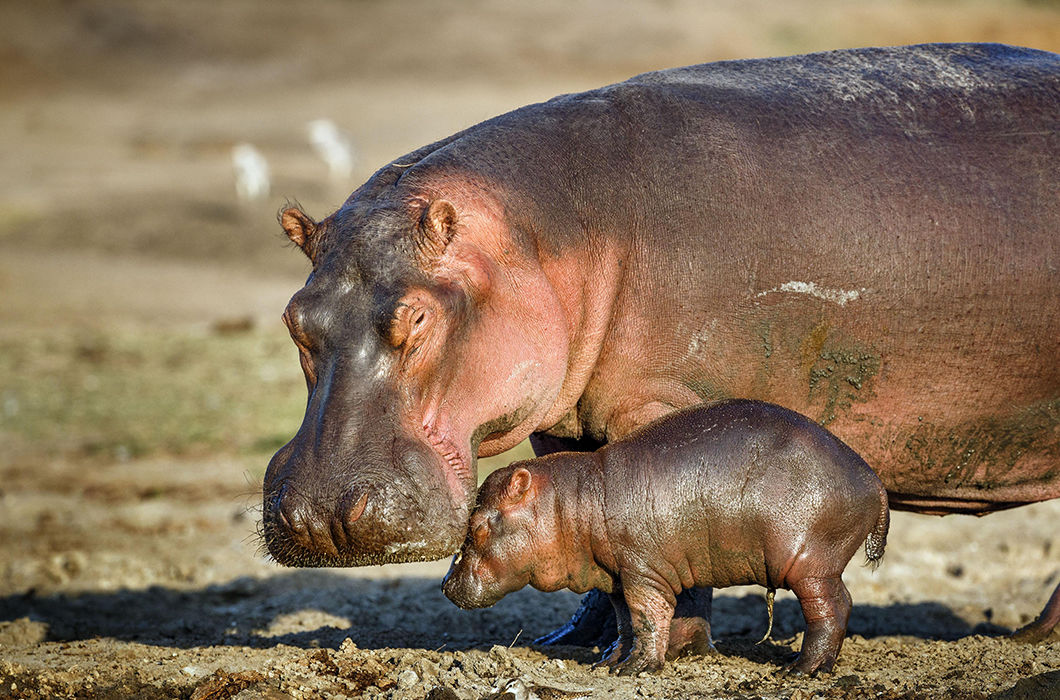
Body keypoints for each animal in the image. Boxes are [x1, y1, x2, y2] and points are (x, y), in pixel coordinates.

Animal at [262, 42, 1060, 644]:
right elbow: (578, 510)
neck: (543, 233)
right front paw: (576, 641)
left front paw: (673, 647)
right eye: (295, 317)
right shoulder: (564, 418)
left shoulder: (665, 405)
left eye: (419, 318)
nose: (322, 517)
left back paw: (1029, 639)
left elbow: (664, 513)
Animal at [443, 396, 890, 674]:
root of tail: (873, 480)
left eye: (478, 526)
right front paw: (609, 663)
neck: (576, 502)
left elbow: (648, 617)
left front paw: (637, 669)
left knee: (830, 609)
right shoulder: (615, 578)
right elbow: (625, 622)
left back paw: (801, 670)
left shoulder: (643, 572)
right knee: (840, 603)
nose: (446, 585)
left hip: (810, 564)